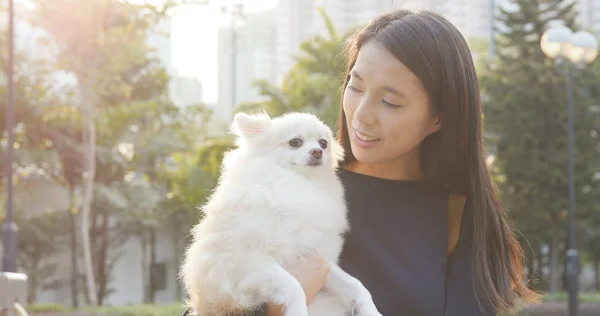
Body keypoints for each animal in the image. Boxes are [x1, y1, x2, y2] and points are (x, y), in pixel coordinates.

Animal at [179, 111, 384, 316]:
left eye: (323, 143)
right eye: (295, 142)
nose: (317, 151)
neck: (296, 183)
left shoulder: (316, 259)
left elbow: (355, 285)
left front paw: (371, 310)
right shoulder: (247, 262)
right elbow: (293, 285)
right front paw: (298, 311)